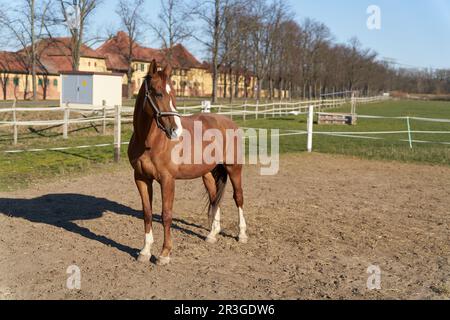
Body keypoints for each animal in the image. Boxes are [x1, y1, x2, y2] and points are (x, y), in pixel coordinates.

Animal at [126, 60, 248, 264]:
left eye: (173, 94)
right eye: (158, 93)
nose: (176, 130)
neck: (150, 142)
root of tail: (229, 122)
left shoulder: (167, 180)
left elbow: (166, 215)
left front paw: (164, 254)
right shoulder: (141, 179)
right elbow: (147, 213)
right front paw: (145, 251)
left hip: (234, 168)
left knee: (238, 197)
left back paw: (242, 235)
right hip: (207, 173)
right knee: (215, 198)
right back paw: (212, 234)